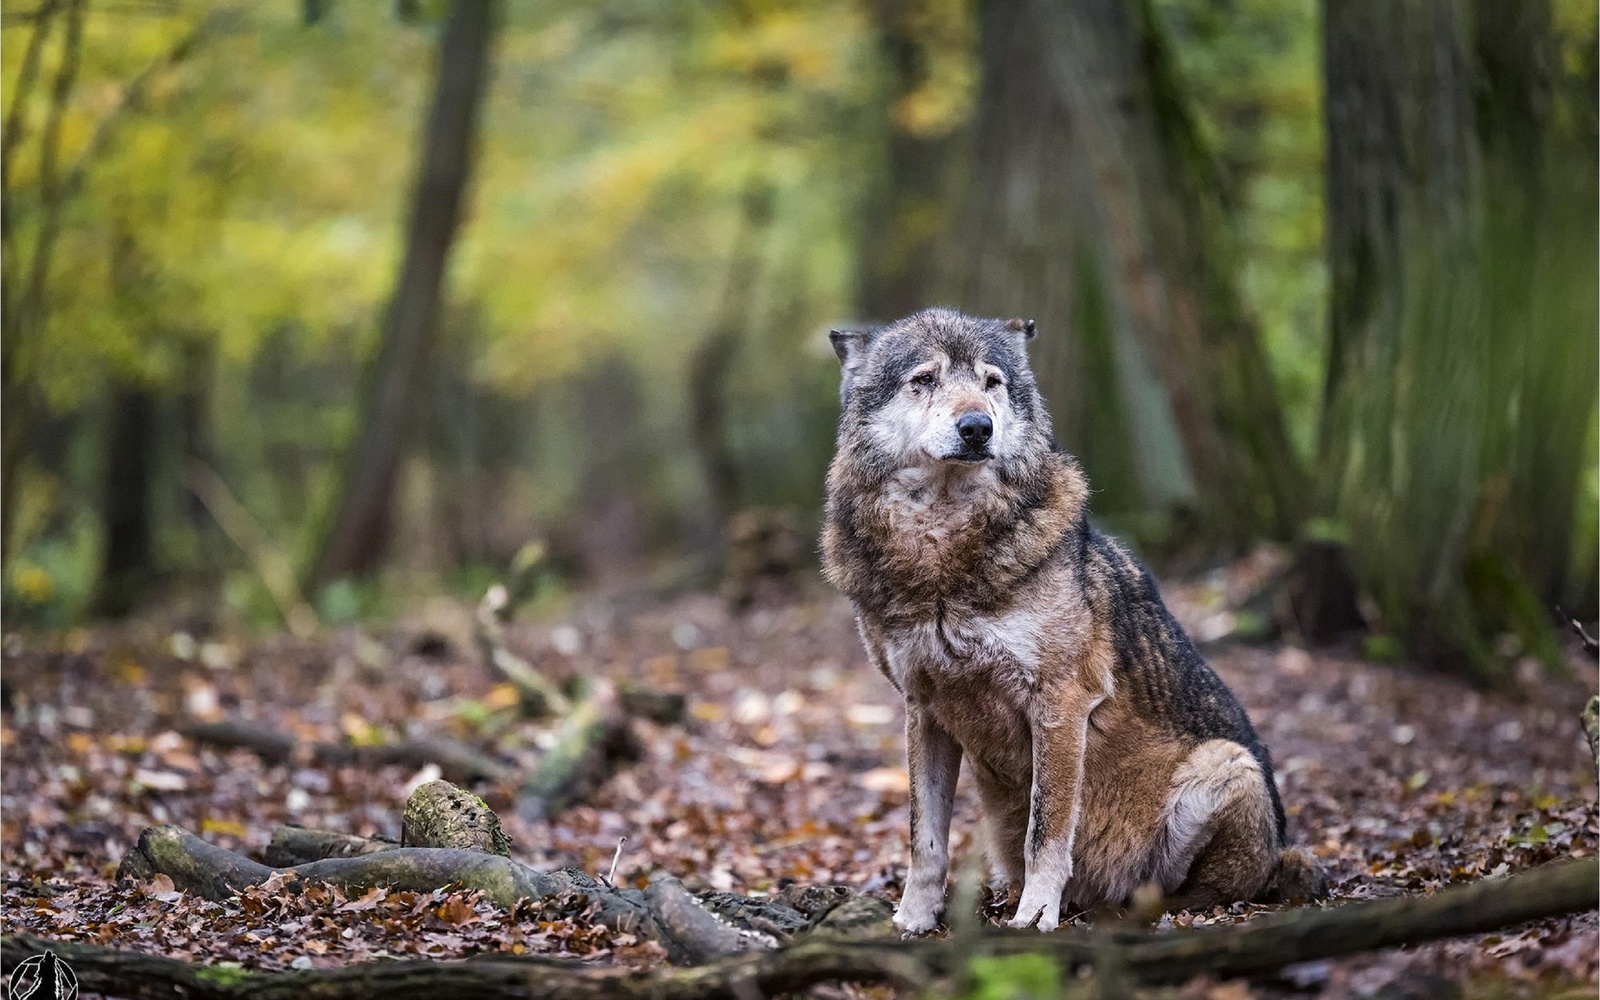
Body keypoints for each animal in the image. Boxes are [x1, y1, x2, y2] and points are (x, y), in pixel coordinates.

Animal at [825, 308, 1324, 934]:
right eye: (924, 379)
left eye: (991, 382)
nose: (977, 427)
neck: (942, 554)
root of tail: (1279, 851)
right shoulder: (924, 709)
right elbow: (925, 839)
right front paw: (913, 919)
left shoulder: (1060, 701)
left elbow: (1047, 829)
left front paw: (1037, 915)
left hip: (1229, 766)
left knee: (1197, 889)